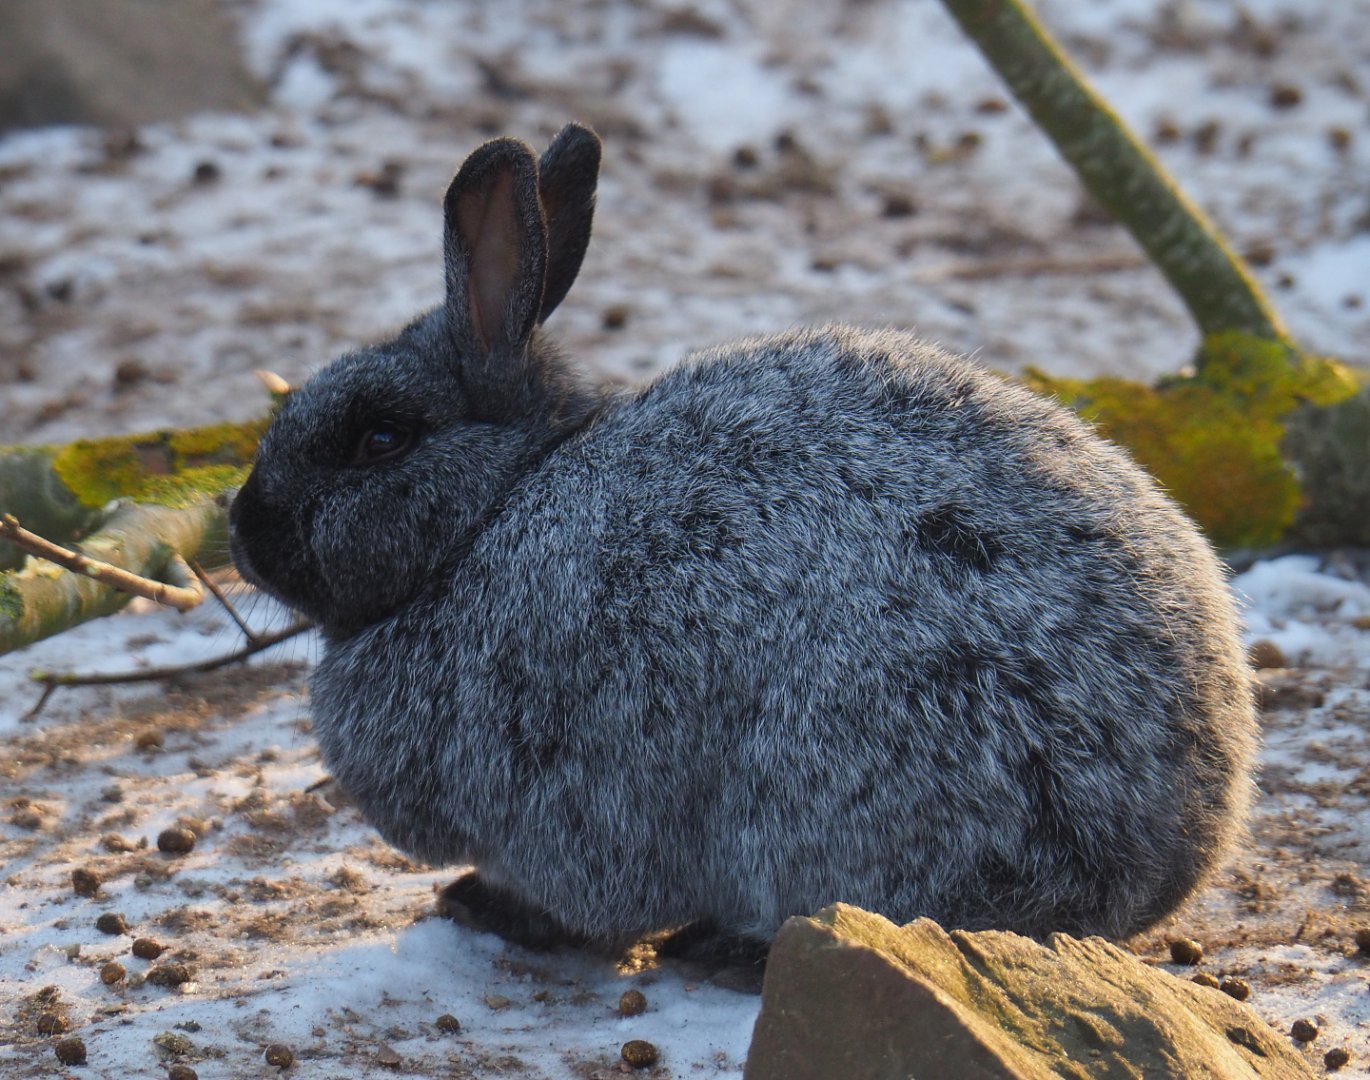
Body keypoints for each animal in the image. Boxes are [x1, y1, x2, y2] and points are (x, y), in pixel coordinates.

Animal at [228, 123, 1256, 961]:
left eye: (379, 438)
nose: (243, 534)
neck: (491, 515)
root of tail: (1149, 865)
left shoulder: (562, 792)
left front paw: (484, 904)